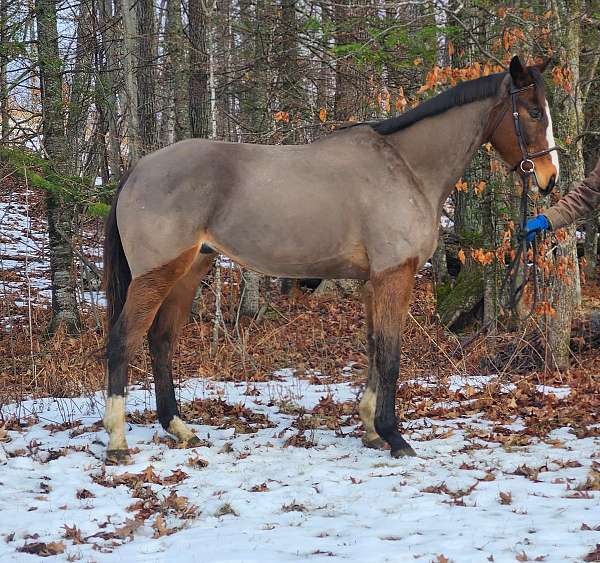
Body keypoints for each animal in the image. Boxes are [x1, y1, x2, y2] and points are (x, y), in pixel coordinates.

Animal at [102, 56, 556, 468]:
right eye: (534, 112)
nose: (549, 179)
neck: (406, 168)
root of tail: (139, 169)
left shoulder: (373, 281)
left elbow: (374, 348)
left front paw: (372, 430)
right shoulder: (395, 275)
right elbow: (390, 355)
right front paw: (395, 437)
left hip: (190, 270)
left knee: (161, 340)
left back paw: (178, 428)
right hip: (157, 275)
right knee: (123, 340)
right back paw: (118, 442)